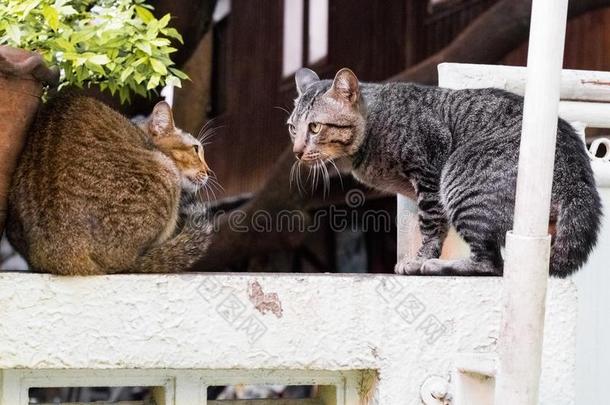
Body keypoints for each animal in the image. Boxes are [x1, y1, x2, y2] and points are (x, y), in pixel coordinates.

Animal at [288, 68, 600, 276]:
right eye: (292, 128)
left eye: (314, 127)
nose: (297, 150)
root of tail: (578, 176)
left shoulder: (428, 171)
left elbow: (430, 226)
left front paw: (419, 259)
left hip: (459, 179)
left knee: (491, 263)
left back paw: (440, 265)